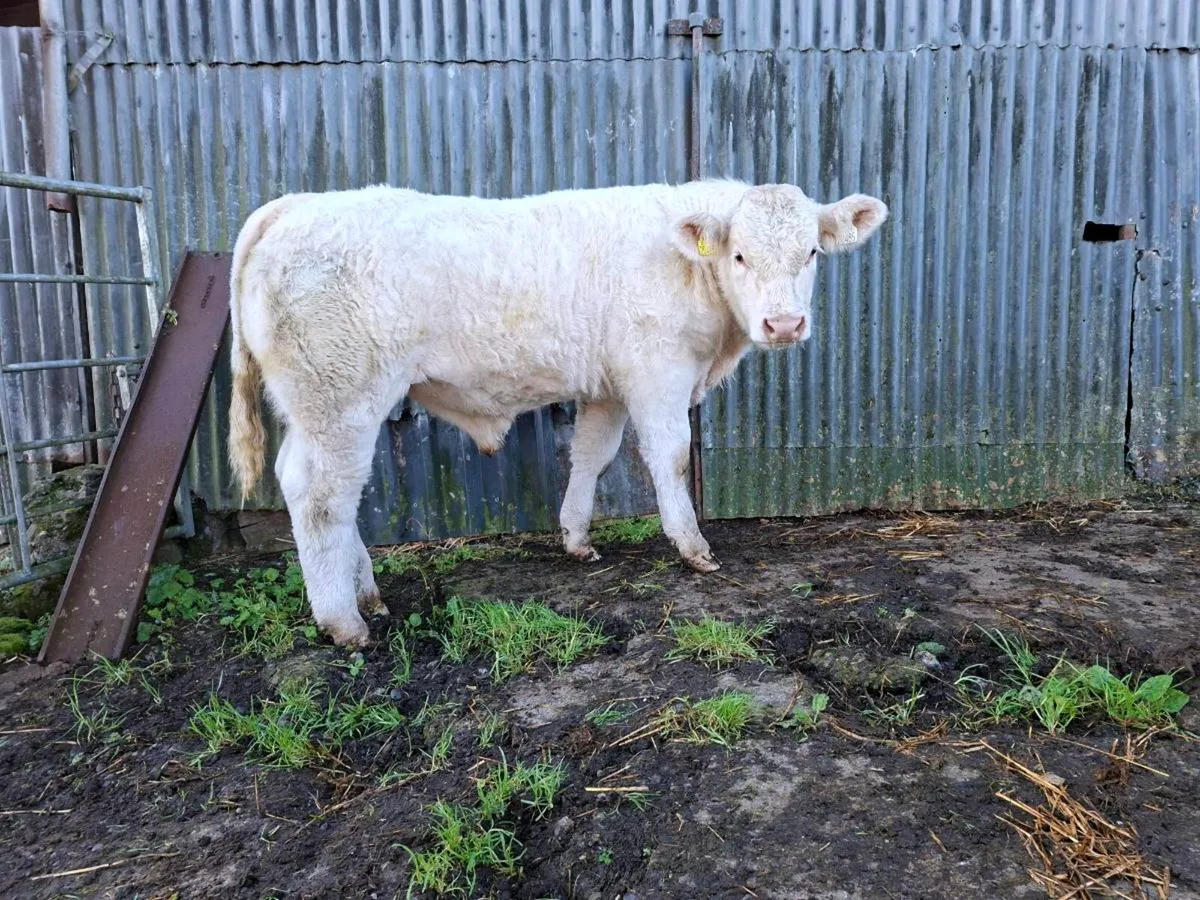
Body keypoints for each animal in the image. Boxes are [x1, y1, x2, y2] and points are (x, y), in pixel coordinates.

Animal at [227, 179, 888, 647]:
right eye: (742, 256)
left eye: (810, 252)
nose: (784, 324)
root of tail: (291, 207)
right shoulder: (658, 370)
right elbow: (670, 456)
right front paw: (692, 545)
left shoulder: (610, 386)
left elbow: (591, 456)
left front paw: (576, 538)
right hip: (339, 395)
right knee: (319, 494)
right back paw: (345, 621)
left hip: (325, 405)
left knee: (330, 490)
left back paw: (367, 594)